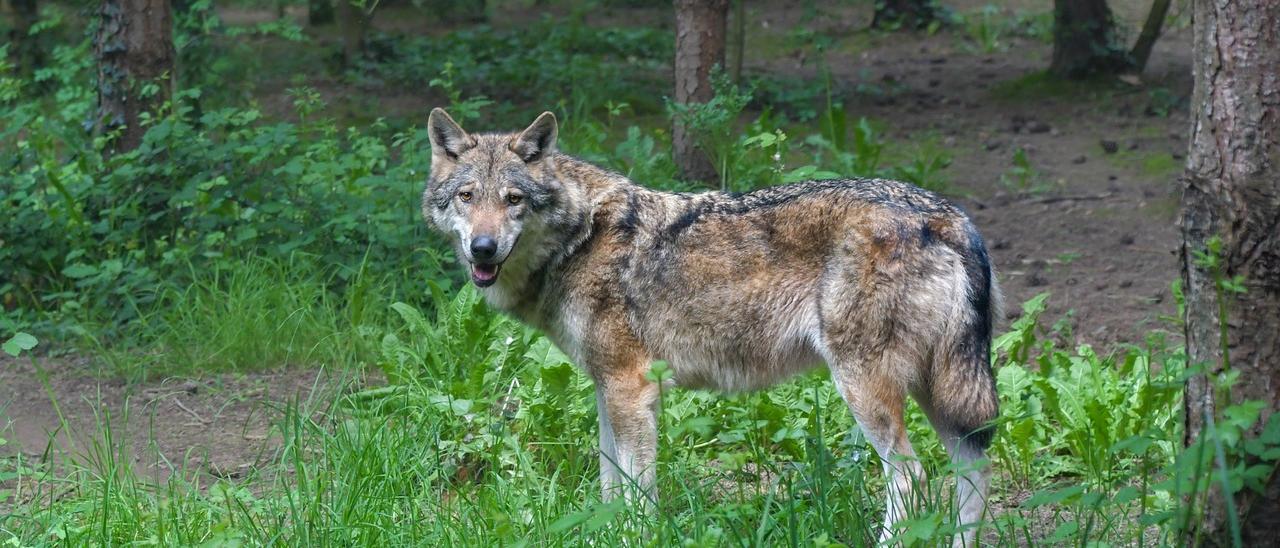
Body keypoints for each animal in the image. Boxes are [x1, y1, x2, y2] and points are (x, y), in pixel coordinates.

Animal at [419, 109, 998, 545]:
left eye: (513, 199)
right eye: (467, 197)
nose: (483, 248)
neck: (581, 237)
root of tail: (947, 217)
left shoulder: (632, 387)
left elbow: (636, 493)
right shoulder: (608, 389)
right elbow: (609, 486)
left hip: (867, 390)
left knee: (914, 480)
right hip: (941, 393)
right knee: (972, 473)